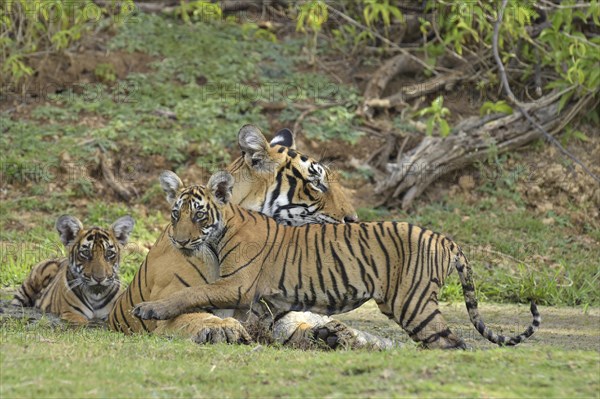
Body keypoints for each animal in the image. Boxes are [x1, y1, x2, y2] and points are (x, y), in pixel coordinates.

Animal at [106, 125, 390, 350]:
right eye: (316, 183)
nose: (353, 219)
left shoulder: (277, 314)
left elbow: (294, 325)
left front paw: (331, 335)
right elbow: (187, 315)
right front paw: (221, 327)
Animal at [134, 172, 540, 350]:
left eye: (199, 214)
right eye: (175, 214)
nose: (179, 239)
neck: (221, 232)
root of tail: (444, 237)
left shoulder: (236, 284)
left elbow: (190, 294)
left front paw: (150, 309)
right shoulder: (262, 298)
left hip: (412, 304)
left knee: (451, 344)